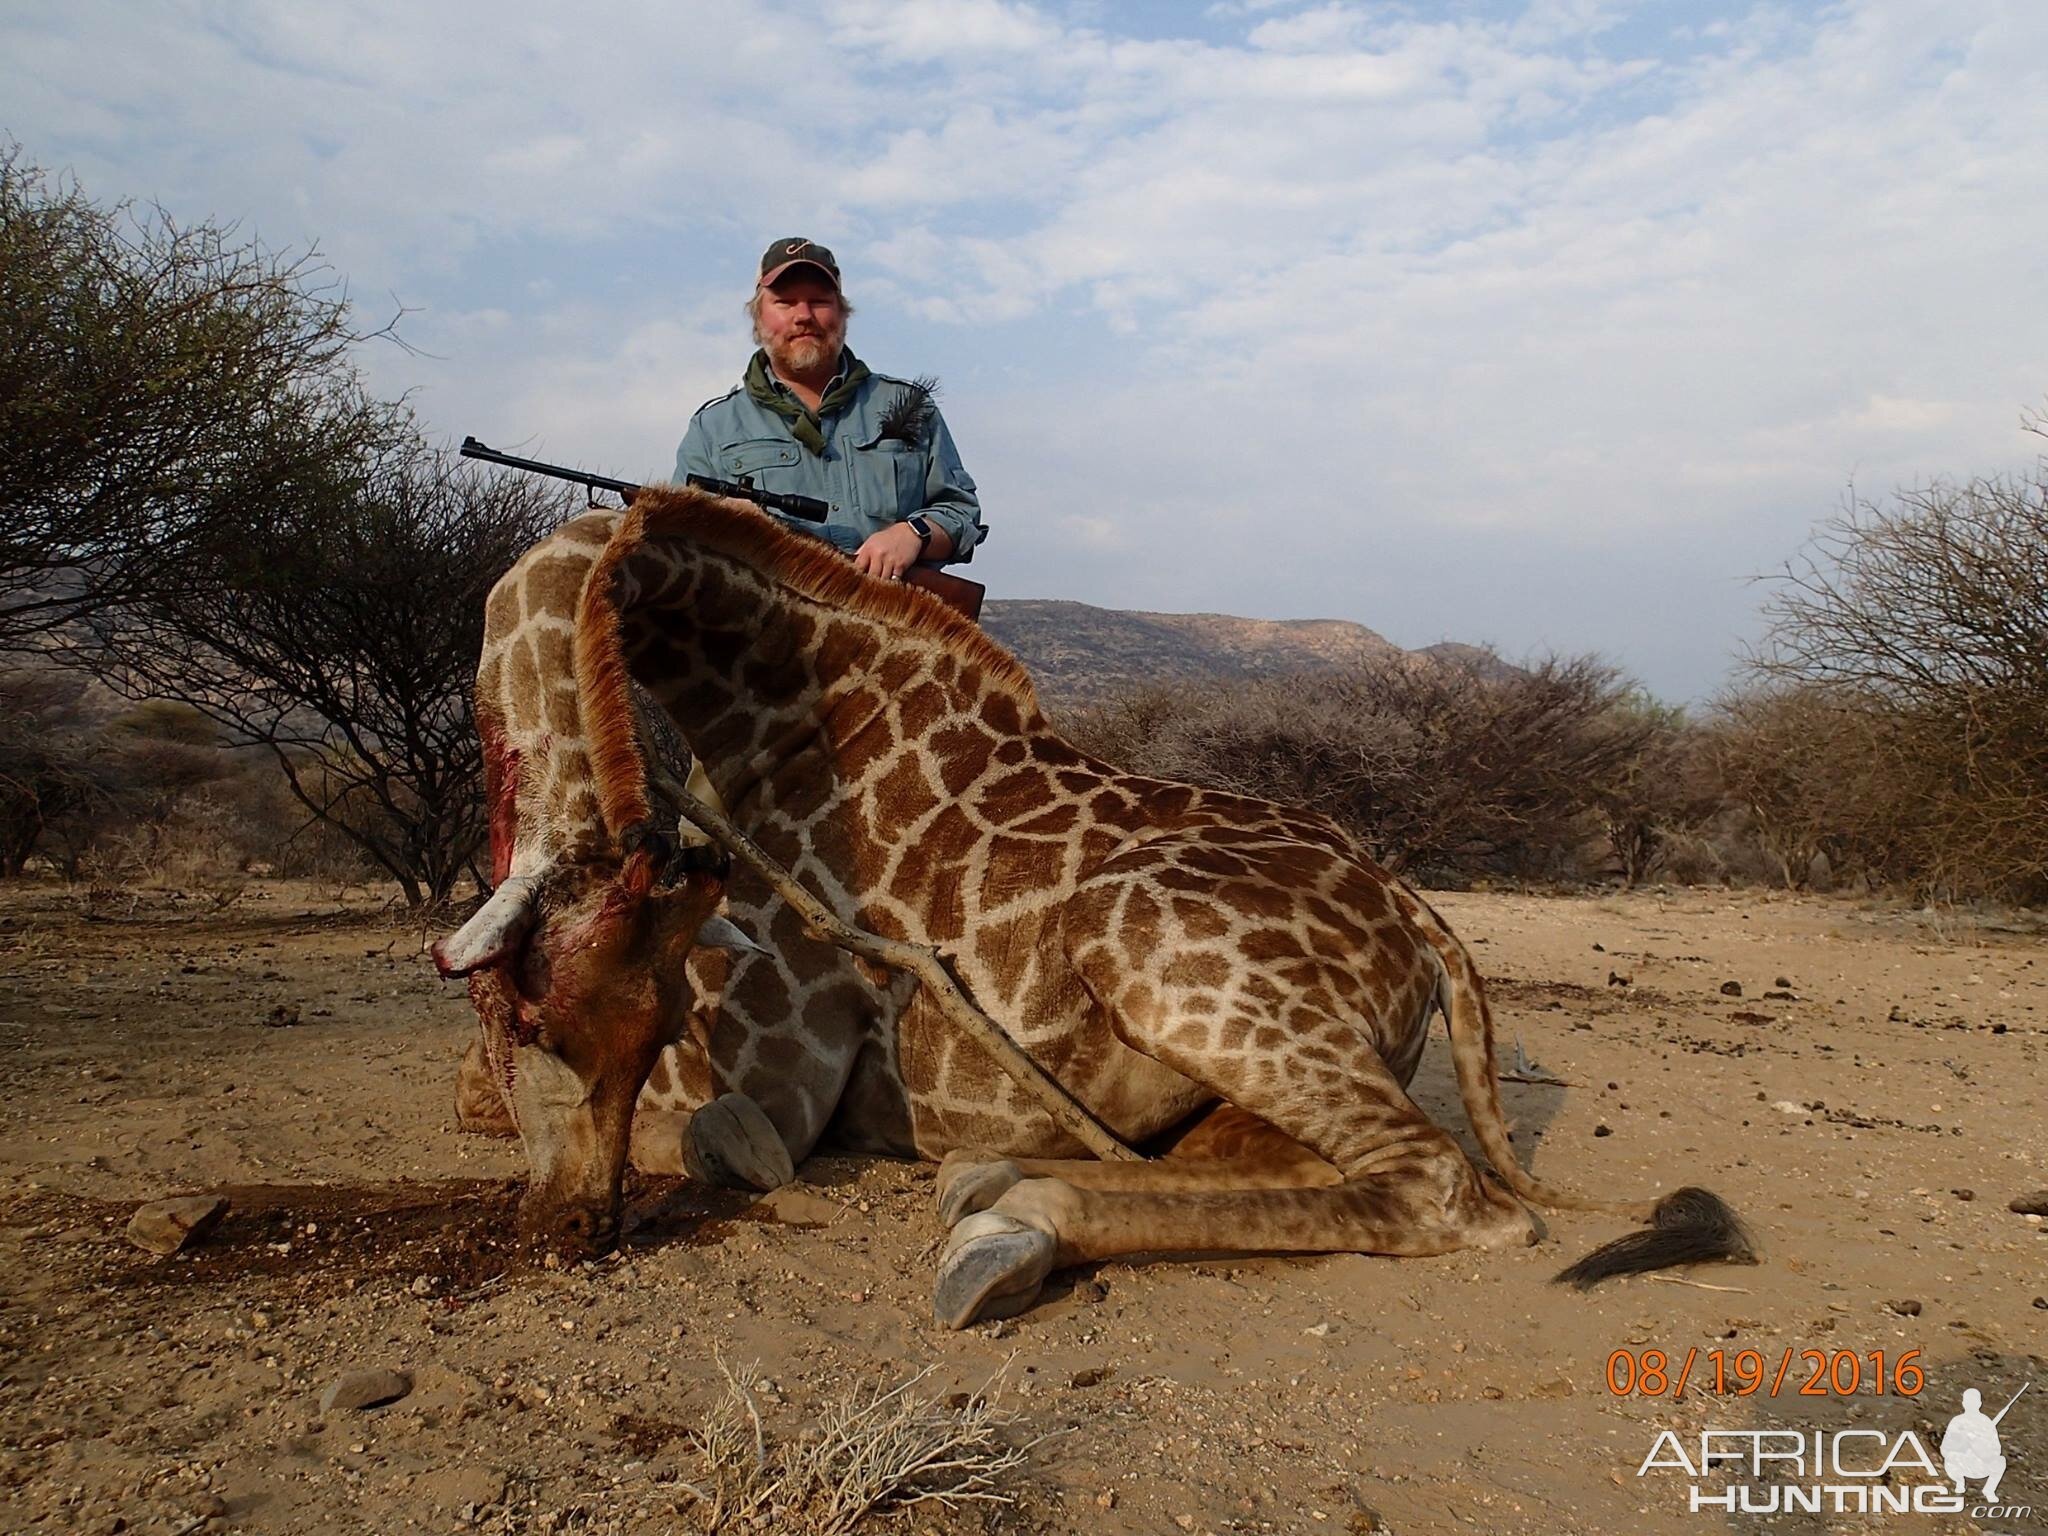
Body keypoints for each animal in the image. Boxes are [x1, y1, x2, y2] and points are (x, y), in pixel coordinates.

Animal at [440, 489, 1753, 1327]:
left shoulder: (782, 1075)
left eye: (537, 1022)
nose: (572, 1227)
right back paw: (988, 1192)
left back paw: (1005, 1223)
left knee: (1438, 1187)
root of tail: (1419, 918)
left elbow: (714, 1143)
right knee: (1311, 1165)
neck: (767, 733)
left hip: (1157, 957)